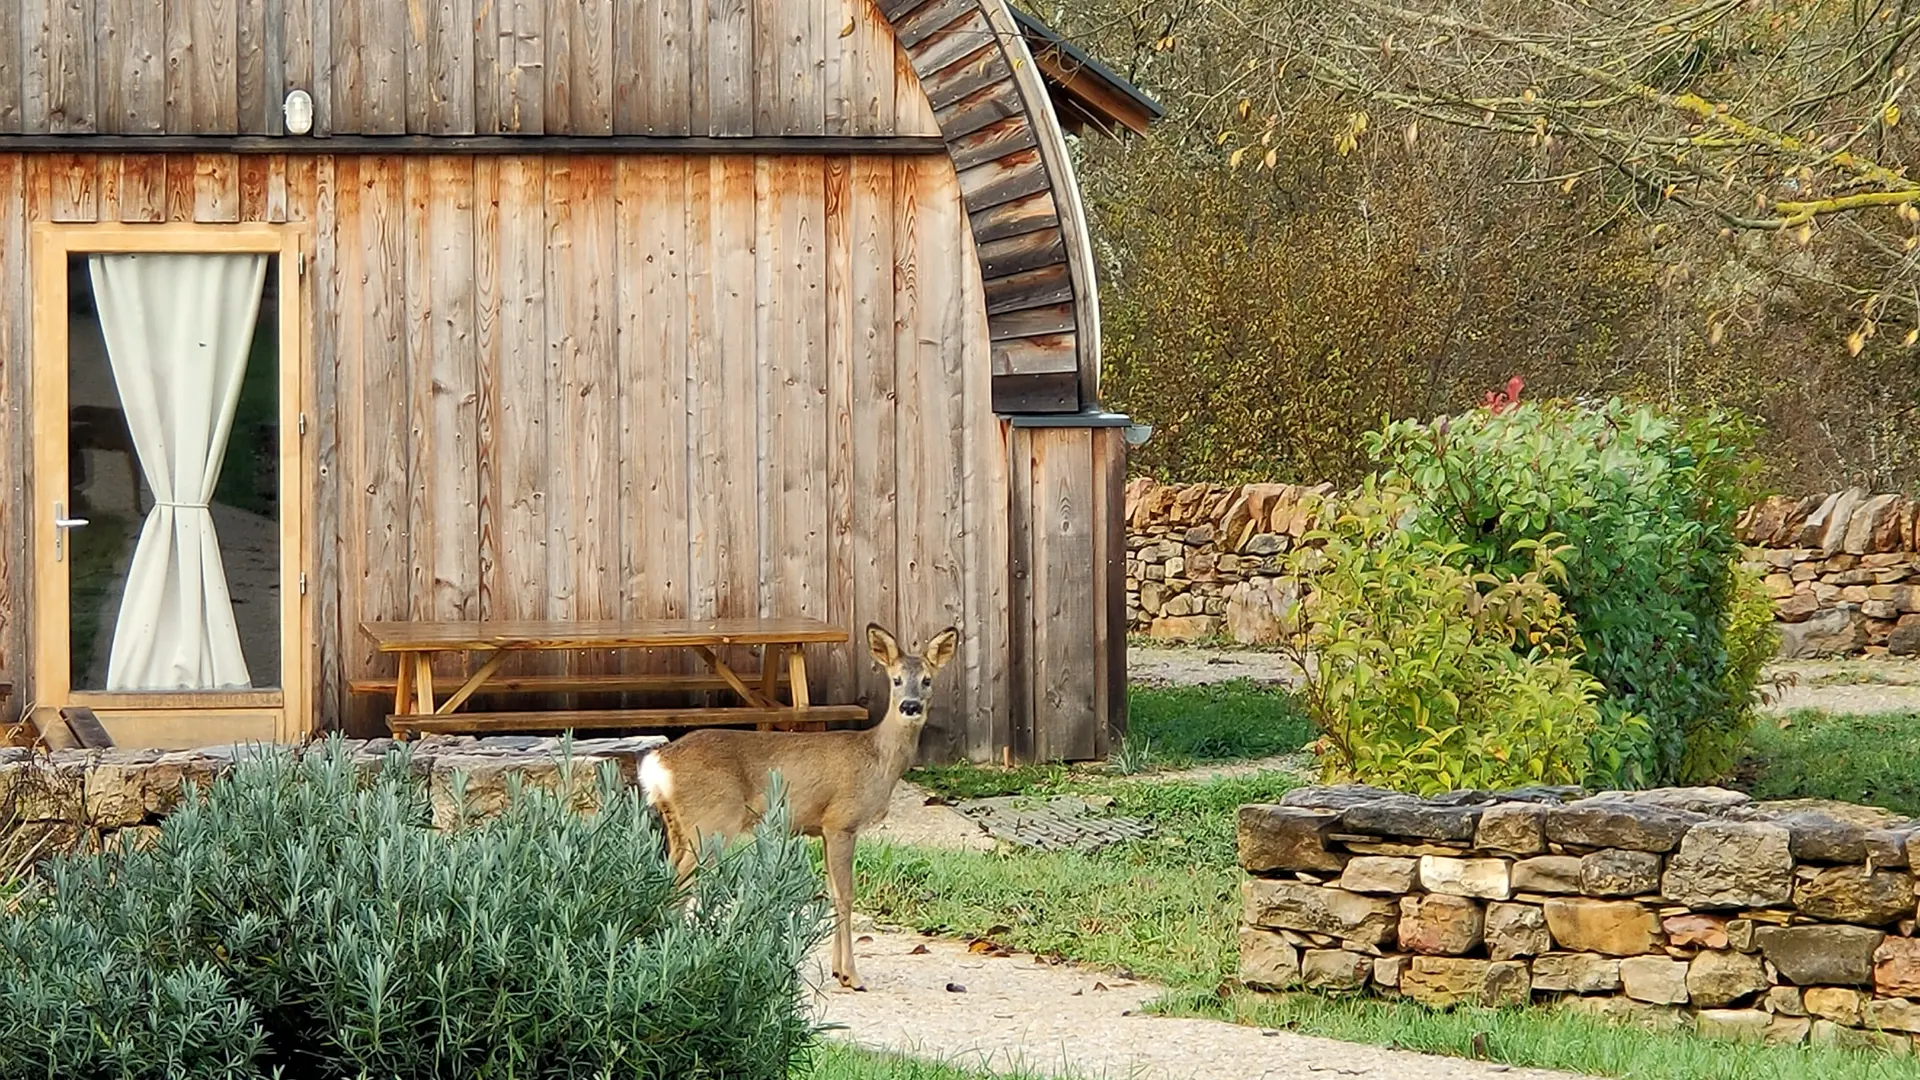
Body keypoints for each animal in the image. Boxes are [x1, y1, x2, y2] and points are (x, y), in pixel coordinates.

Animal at [637, 618, 960, 991]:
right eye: (895, 679)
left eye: (927, 680)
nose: (910, 706)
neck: (877, 759)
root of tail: (659, 761)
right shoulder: (842, 822)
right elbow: (845, 896)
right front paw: (853, 977)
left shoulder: (823, 829)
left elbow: (832, 893)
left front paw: (837, 971)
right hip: (711, 822)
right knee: (679, 886)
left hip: (678, 824)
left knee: (664, 878)